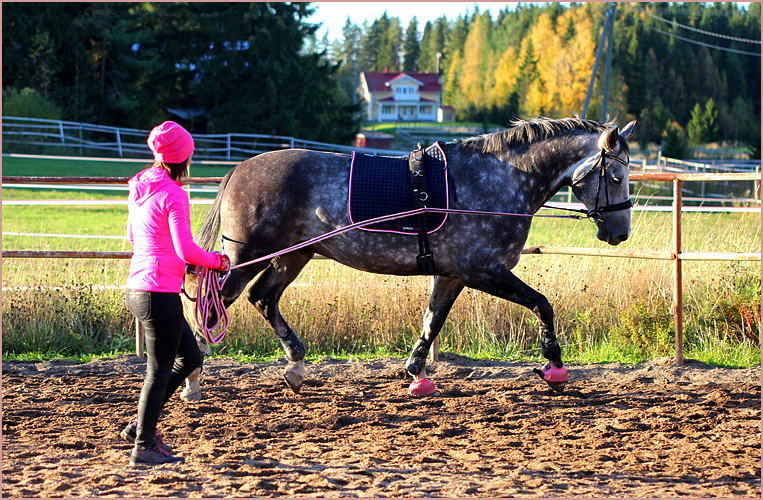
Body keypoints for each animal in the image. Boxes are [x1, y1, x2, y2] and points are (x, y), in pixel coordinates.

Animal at [183, 117, 636, 395]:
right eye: (615, 176)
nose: (620, 232)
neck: (501, 179)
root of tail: (238, 170)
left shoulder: (452, 274)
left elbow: (432, 322)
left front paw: (417, 375)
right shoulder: (483, 270)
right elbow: (543, 304)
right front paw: (555, 367)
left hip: (293, 256)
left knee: (262, 299)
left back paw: (295, 367)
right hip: (249, 255)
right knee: (211, 308)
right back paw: (191, 379)